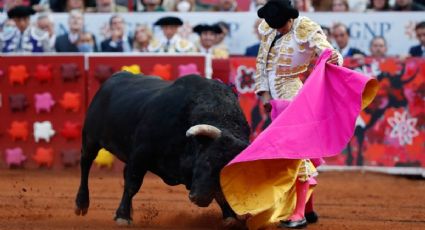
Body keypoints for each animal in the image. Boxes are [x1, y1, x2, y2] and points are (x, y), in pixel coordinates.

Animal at [74, 73, 250, 226]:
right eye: (207, 161)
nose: (199, 198)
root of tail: (113, 78)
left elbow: (222, 194)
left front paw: (230, 217)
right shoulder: (141, 154)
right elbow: (132, 184)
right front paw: (122, 217)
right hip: (90, 138)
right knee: (85, 163)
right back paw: (81, 204)